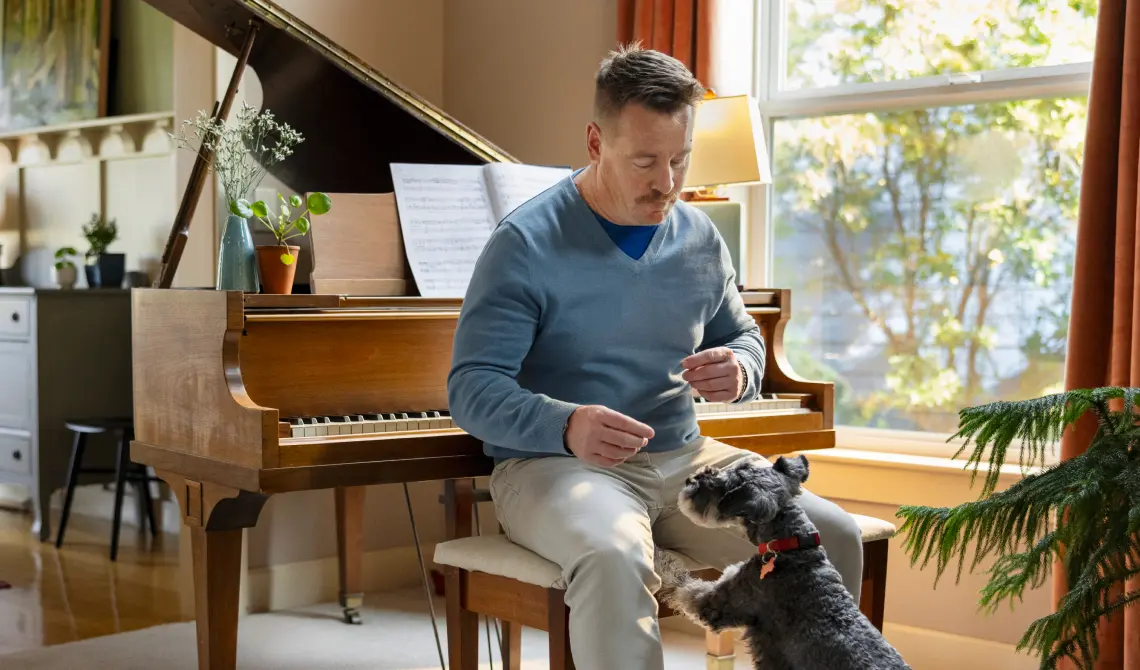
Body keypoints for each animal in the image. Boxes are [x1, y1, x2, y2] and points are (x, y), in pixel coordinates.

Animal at [661, 455, 907, 670]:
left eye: (730, 481)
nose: (691, 480)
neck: (789, 546)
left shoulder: (715, 603)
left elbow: (682, 582)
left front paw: (661, 559)